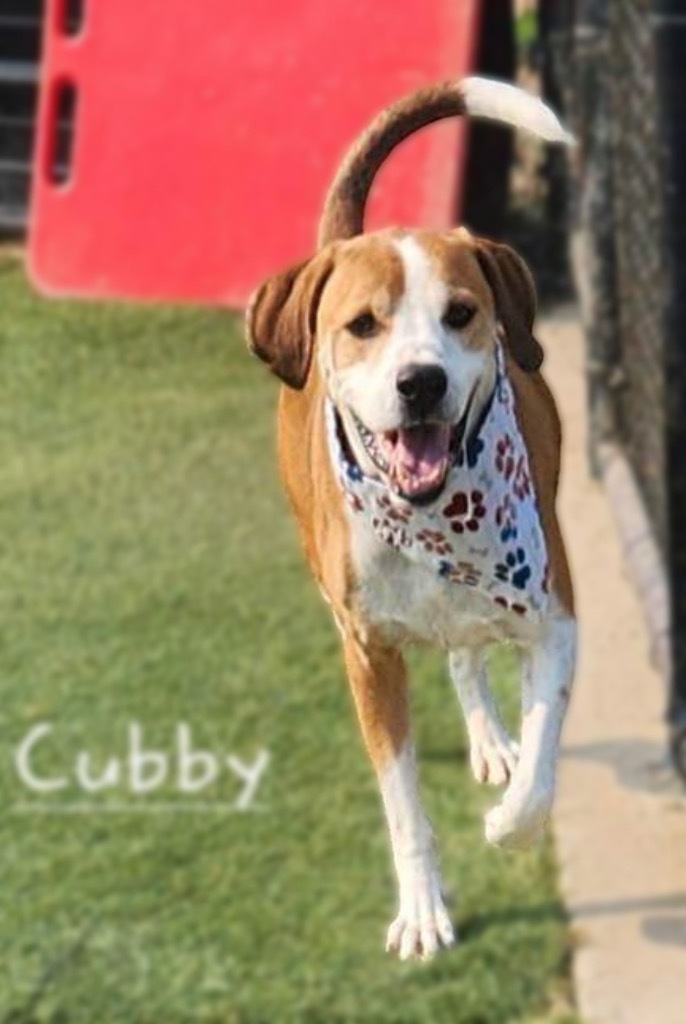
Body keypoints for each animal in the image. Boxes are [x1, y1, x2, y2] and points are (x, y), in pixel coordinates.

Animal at [244, 77, 577, 958]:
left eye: (462, 312)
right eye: (364, 324)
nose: (421, 381)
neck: (436, 517)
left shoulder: (553, 619)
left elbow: (543, 760)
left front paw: (507, 824)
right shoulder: (369, 656)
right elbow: (402, 803)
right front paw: (424, 908)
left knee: (467, 655)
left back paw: (492, 741)